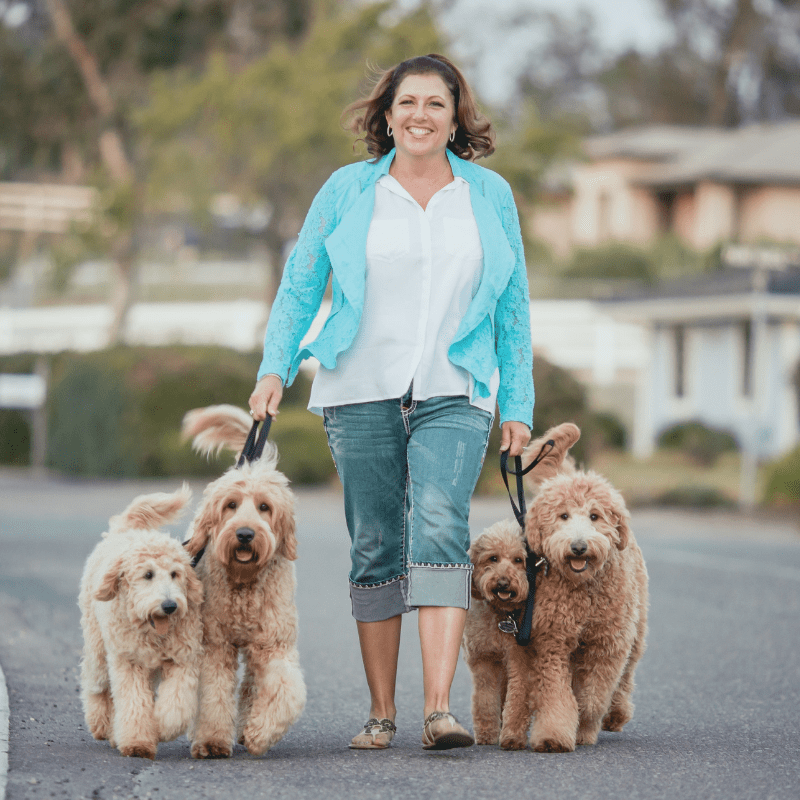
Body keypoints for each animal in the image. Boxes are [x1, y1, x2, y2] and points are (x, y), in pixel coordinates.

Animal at [79, 484, 203, 760]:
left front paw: (162, 728)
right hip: (99, 648)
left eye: (175, 574)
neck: (152, 633)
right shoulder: (128, 661)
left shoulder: (182, 659)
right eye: (148, 575)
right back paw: (101, 724)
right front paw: (137, 742)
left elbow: (176, 702)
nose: (169, 606)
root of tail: (126, 531)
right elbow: (133, 702)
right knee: (96, 685)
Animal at [183, 404, 304, 760]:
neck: (244, 586)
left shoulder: (275, 643)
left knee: (252, 682)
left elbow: (286, 691)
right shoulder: (214, 645)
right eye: (231, 505)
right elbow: (213, 694)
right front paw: (211, 740)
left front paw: (259, 733)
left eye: (264, 507)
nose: (246, 534)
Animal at [524, 422, 648, 752]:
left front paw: (585, 727)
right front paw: (554, 735)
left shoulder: (607, 643)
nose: (578, 547)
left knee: (626, 676)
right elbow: (557, 695)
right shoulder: (552, 642)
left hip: (636, 628)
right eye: (563, 515)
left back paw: (616, 714)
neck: (581, 592)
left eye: (595, 516)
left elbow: (594, 694)